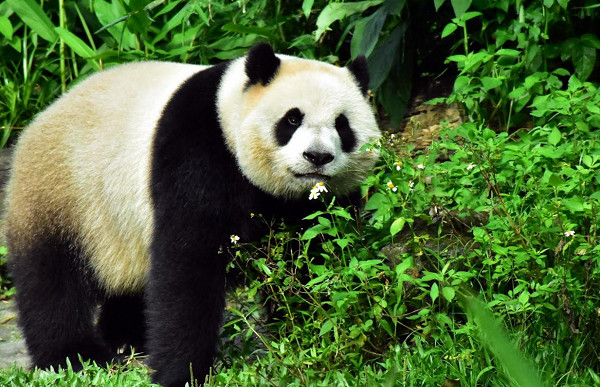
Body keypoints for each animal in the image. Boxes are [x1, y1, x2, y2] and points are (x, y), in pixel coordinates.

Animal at [3, 43, 380, 387]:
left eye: (342, 125)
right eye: (292, 118)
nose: (317, 157)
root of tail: (39, 119)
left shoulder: (319, 203)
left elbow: (312, 258)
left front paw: (307, 332)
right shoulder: (198, 150)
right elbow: (187, 265)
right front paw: (180, 373)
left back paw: (126, 339)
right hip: (62, 192)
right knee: (51, 279)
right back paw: (74, 355)